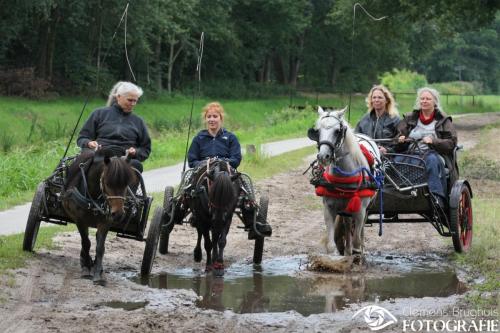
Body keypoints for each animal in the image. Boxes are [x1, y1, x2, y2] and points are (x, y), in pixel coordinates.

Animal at [62, 148, 137, 282]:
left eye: (126, 184)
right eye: (107, 183)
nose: (118, 214)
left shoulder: (106, 221)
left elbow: (100, 247)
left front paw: (98, 273)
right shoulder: (80, 220)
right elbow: (86, 243)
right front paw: (86, 268)